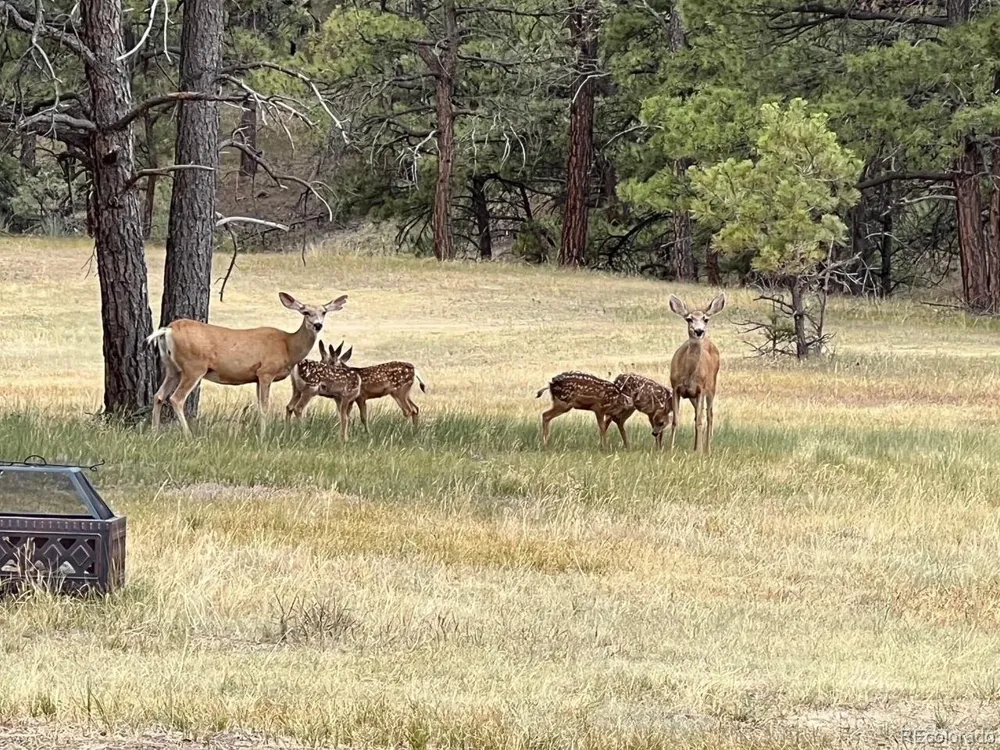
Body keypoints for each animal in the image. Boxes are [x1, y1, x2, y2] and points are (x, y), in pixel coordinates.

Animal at [147, 292, 348, 437]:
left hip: (173, 368)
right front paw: (264, 436)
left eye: (323, 312)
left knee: (159, 395)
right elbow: (265, 406)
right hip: (194, 366)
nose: (317, 325)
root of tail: (168, 330)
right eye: (306, 312)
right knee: (176, 398)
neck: (288, 346)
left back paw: (154, 432)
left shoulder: (257, 376)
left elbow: (259, 406)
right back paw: (188, 436)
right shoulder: (266, 371)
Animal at [667, 293, 726, 455]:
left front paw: (699, 452)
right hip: (692, 396)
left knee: (709, 415)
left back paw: (707, 449)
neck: (688, 375)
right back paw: (696, 447)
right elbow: (675, 420)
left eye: (706, 319)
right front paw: (670, 449)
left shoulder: (701, 389)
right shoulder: (675, 387)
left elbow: (700, 421)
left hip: (711, 387)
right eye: (689, 319)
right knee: (697, 415)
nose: (699, 331)